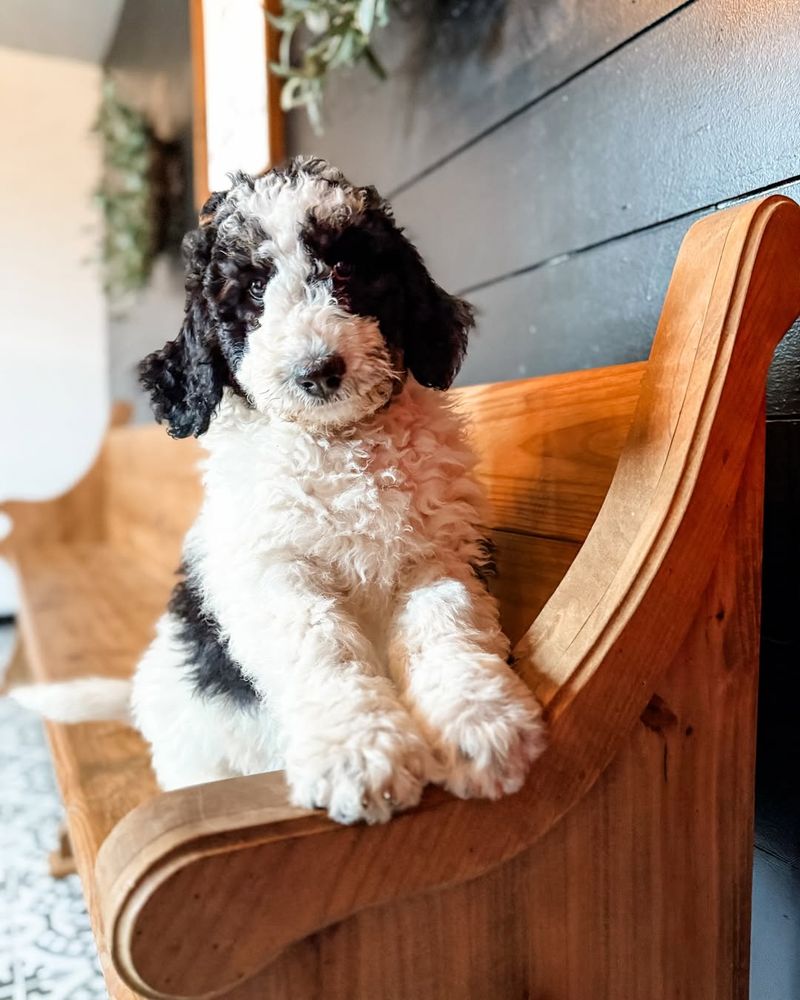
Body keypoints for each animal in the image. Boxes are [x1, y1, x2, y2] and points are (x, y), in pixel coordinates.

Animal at [15, 156, 544, 824]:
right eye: (251, 293)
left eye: (345, 270)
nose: (318, 371)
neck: (338, 444)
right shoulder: (273, 571)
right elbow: (320, 647)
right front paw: (359, 752)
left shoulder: (439, 556)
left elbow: (446, 626)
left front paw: (480, 723)